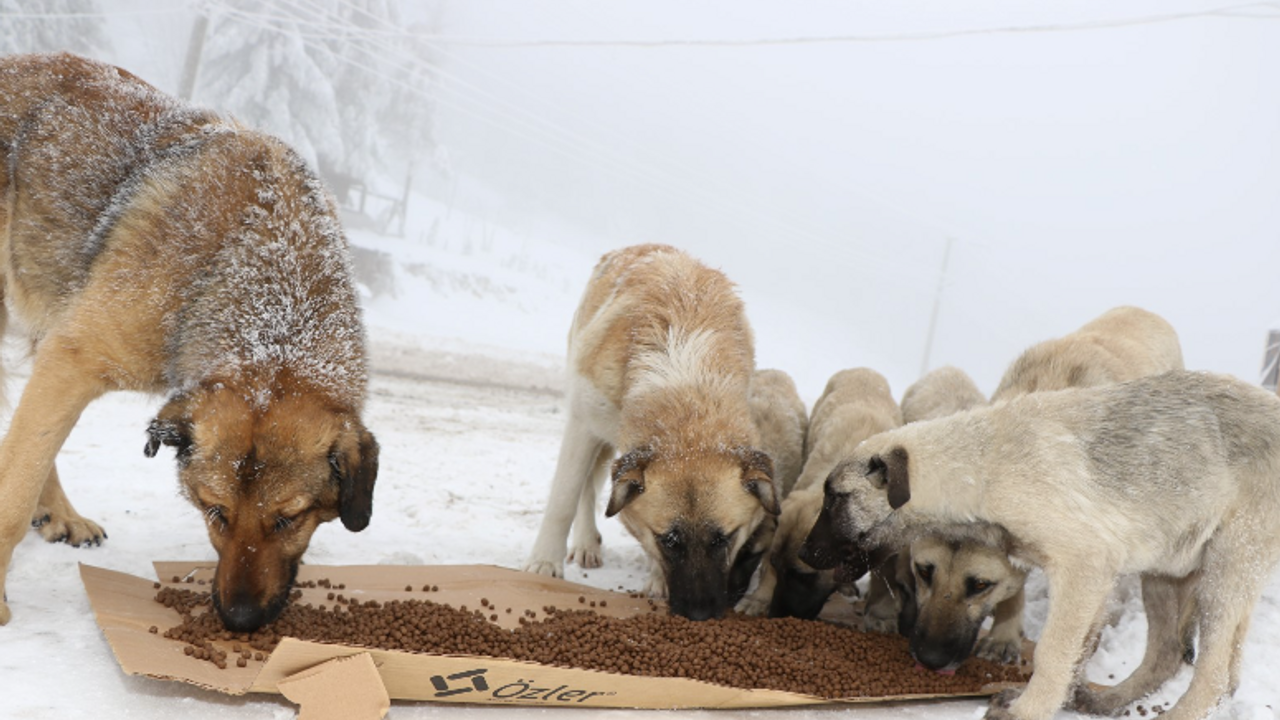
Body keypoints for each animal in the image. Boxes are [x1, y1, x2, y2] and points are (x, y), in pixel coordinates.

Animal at [0, 54, 376, 627]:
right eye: (214, 510)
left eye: (288, 519)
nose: (240, 619)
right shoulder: (73, 358)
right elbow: (12, 499)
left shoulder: (61, 355)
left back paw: (61, 513)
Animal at [522, 243, 778, 620]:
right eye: (669, 540)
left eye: (724, 539)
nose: (700, 614)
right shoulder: (583, 426)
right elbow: (563, 500)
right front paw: (544, 565)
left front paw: (657, 580)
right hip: (592, 425)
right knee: (586, 488)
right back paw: (585, 544)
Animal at [803, 368, 1280, 717]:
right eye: (924, 574)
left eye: (835, 498)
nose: (805, 553)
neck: (980, 464)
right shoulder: (1100, 580)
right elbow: (1076, 653)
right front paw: (1051, 698)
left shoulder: (1085, 566)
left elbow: (1053, 651)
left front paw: (1029, 708)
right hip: (1168, 572)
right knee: (1171, 654)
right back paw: (1107, 699)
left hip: (1227, 569)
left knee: (1214, 674)